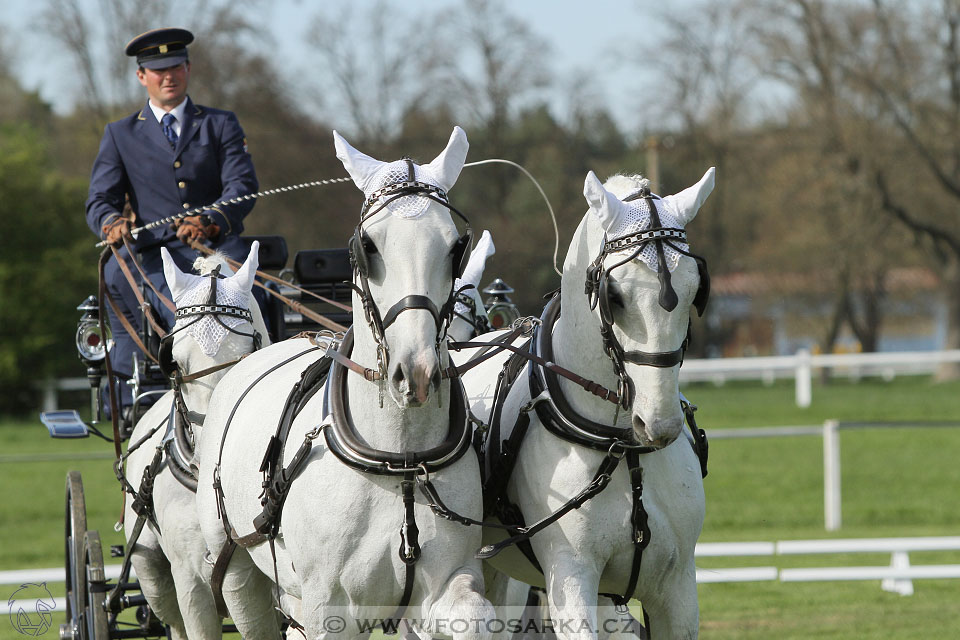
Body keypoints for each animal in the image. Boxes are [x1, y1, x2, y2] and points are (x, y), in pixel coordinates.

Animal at [195, 126, 496, 640]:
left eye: (456, 247)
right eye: (368, 245)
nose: (415, 372)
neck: (400, 459)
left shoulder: (445, 585)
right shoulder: (328, 607)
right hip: (236, 569)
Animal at [462, 170, 716, 640]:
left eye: (695, 292)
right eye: (614, 296)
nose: (659, 424)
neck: (622, 448)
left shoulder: (676, 590)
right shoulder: (571, 578)